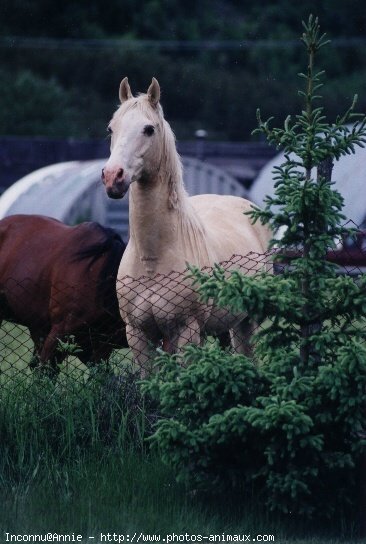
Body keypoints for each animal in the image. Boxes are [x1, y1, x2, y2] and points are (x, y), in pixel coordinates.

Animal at [103, 77, 272, 374]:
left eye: (149, 129)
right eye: (112, 128)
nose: (113, 177)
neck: (152, 259)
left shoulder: (187, 331)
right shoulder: (138, 335)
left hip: (246, 323)